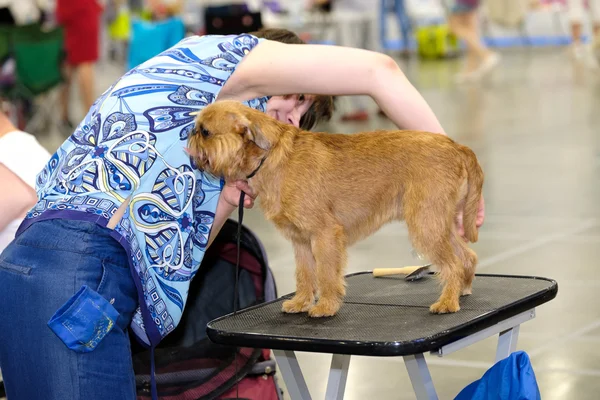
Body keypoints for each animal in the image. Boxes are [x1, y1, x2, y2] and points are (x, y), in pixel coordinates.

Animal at [190, 101, 486, 318]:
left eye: (205, 131)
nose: (189, 137)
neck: (270, 156)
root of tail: (456, 147)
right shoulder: (301, 241)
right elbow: (305, 274)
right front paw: (301, 302)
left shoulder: (324, 235)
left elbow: (325, 273)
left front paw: (325, 306)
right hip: (439, 223)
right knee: (467, 256)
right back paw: (462, 290)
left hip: (425, 224)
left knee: (452, 263)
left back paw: (447, 302)